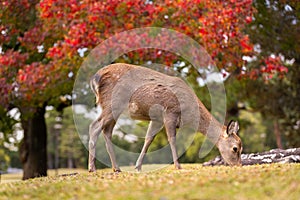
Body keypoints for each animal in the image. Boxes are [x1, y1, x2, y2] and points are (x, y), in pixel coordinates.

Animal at [88, 63, 243, 173]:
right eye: (235, 148)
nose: (239, 165)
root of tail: (95, 78)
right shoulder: (170, 112)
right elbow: (172, 139)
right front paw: (178, 166)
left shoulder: (157, 119)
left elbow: (148, 139)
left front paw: (138, 167)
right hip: (112, 103)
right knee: (94, 126)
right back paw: (92, 168)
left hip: (113, 109)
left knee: (107, 131)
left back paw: (116, 168)